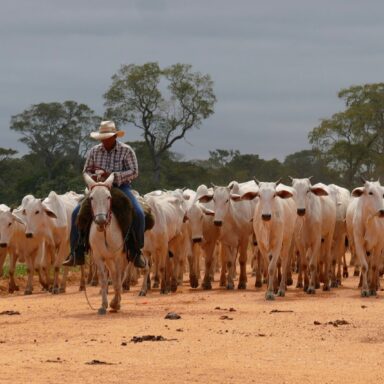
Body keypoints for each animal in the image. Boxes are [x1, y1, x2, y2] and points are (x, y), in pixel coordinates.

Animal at [83, 172, 130, 314]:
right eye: (91, 198)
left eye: (108, 197)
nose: (101, 221)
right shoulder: (98, 256)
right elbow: (103, 279)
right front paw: (104, 305)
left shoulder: (119, 256)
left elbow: (118, 278)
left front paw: (115, 303)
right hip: (109, 259)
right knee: (113, 275)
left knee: (121, 275)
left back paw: (117, 301)